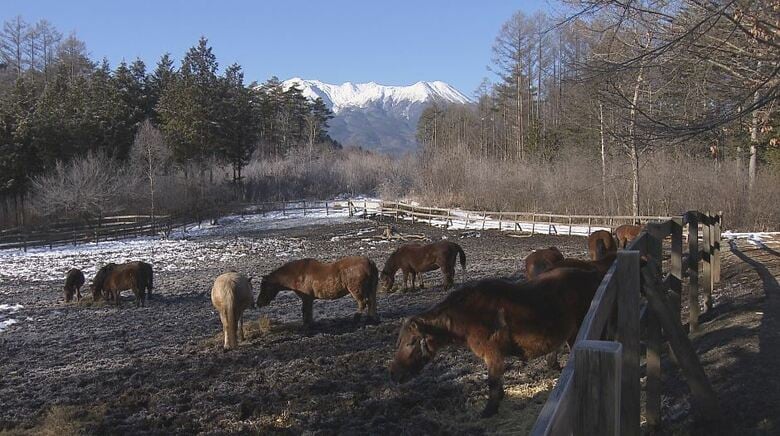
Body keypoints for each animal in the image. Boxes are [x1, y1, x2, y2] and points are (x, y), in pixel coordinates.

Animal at [390, 267, 603, 418]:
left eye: (411, 342)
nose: (394, 375)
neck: (469, 314)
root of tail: (593, 276)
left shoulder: (493, 354)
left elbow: (492, 382)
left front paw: (489, 410)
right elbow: (496, 382)